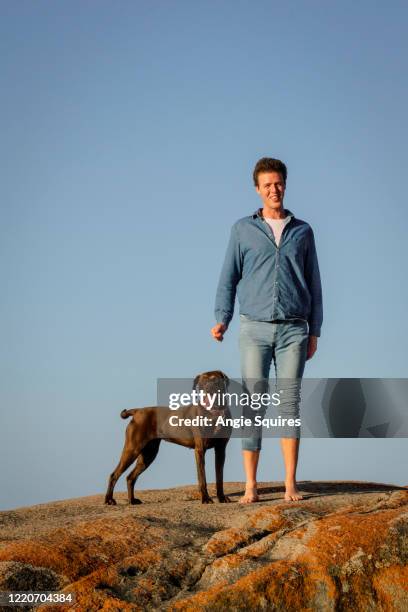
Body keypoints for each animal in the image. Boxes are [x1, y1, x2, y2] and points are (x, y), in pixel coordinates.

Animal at [103, 370, 231, 504]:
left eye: (215, 380)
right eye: (201, 382)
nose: (206, 388)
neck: (214, 413)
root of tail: (137, 411)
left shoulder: (221, 450)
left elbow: (219, 477)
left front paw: (222, 497)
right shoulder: (200, 449)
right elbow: (202, 478)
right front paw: (206, 499)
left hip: (148, 454)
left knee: (130, 477)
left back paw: (132, 500)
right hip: (132, 448)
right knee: (114, 475)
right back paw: (109, 500)